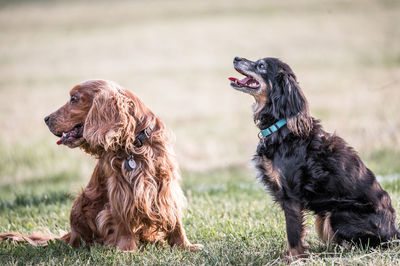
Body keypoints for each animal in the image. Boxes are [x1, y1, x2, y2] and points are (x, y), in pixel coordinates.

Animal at [230, 57, 398, 258]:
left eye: (261, 65)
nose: (236, 58)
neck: (282, 126)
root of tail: (394, 233)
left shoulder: (291, 197)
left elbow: (293, 235)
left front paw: (295, 259)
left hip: (336, 214)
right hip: (324, 216)